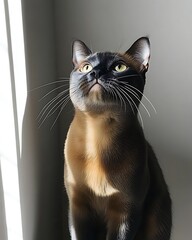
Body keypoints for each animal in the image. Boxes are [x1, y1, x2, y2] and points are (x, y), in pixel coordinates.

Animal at [63, 36, 172, 239]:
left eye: (119, 67)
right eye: (86, 67)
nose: (96, 73)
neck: (97, 137)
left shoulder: (125, 210)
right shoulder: (78, 206)